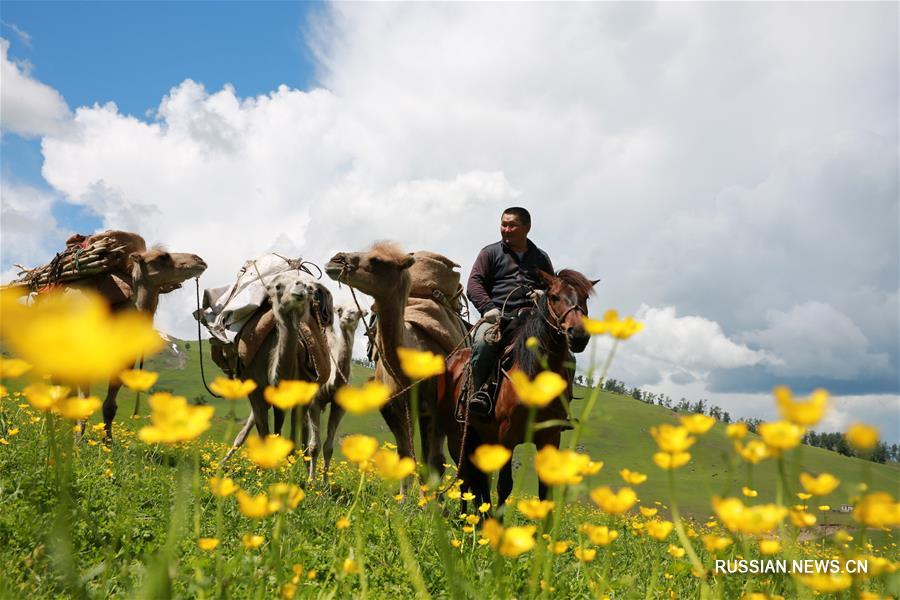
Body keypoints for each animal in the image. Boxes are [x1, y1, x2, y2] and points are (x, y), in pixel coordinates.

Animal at [304, 302, 368, 480]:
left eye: (359, 312)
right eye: (340, 310)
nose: (347, 318)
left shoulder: (339, 406)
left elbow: (329, 447)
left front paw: (326, 483)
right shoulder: (314, 402)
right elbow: (315, 446)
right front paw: (311, 481)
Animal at [438, 270, 596, 508]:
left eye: (585, 298)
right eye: (555, 297)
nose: (578, 334)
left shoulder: (549, 438)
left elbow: (545, 491)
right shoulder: (507, 436)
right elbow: (504, 486)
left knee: (479, 479)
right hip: (458, 434)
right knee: (465, 476)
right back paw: (465, 514)